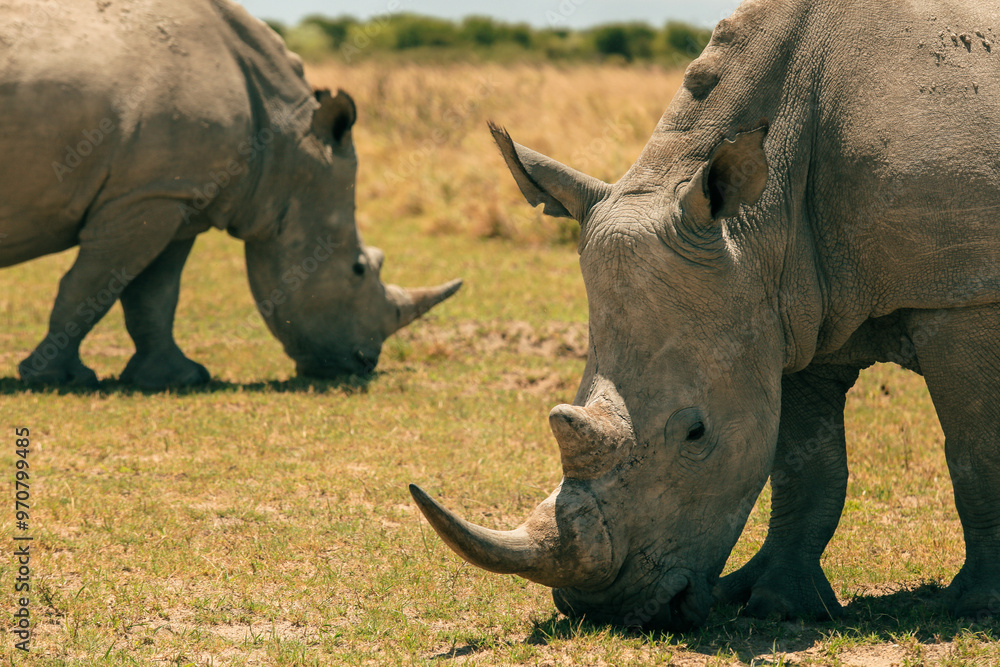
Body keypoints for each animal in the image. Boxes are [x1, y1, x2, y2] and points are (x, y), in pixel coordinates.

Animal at [0, 0, 460, 389]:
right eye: (359, 268)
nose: (364, 364)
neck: (286, 147)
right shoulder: (145, 198)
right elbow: (89, 288)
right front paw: (57, 378)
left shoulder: (175, 197)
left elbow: (153, 295)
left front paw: (178, 378)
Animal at [411, 0, 1000, 630]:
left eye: (696, 434)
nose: (604, 611)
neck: (759, 223)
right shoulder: (787, 310)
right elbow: (804, 465)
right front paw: (776, 604)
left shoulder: (961, 296)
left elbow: (975, 450)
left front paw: (978, 607)